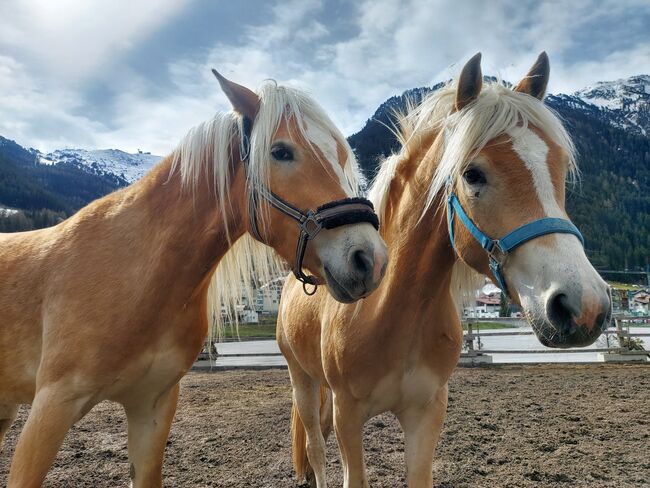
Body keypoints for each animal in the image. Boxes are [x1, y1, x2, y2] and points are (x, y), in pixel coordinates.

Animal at [0, 70, 384, 486]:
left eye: (342, 155)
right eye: (281, 151)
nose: (369, 259)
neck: (136, 274)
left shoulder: (152, 408)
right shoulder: (50, 409)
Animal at [276, 51, 612, 486]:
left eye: (559, 169)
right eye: (472, 173)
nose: (583, 305)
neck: (388, 312)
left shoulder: (427, 412)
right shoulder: (348, 414)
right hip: (301, 378)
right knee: (315, 446)